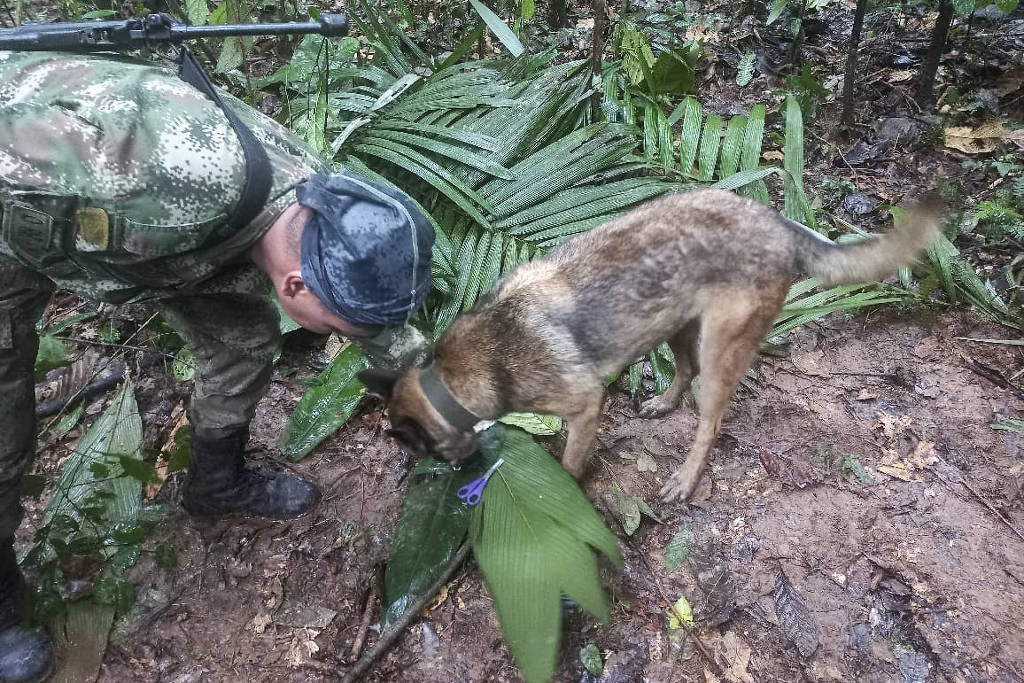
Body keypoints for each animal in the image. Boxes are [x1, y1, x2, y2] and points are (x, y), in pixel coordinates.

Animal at [360, 189, 942, 505]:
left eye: (421, 451)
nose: (458, 475)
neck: (453, 378)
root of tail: (780, 224)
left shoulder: (584, 406)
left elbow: (569, 463)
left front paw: (564, 492)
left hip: (719, 349)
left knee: (710, 421)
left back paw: (685, 477)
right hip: (675, 325)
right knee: (682, 373)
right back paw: (664, 403)